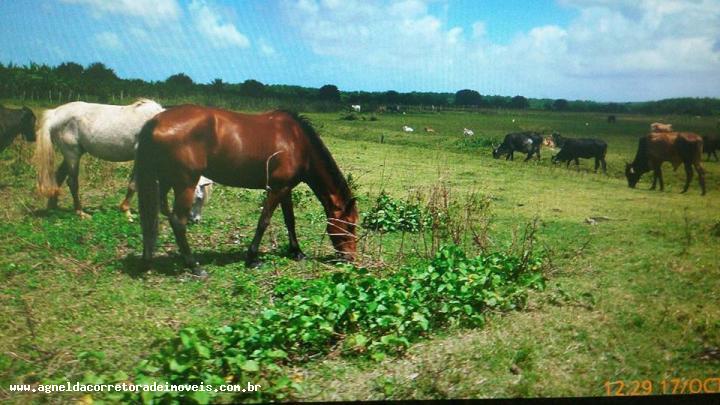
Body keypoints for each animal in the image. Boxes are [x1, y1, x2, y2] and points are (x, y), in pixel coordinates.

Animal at [35, 99, 165, 216]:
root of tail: (54, 114)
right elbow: (134, 184)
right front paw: (126, 211)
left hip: (71, 155)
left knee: (59, 176)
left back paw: (53, 207)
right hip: (72, 154)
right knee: (72, 182)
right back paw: (80, 213)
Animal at [135, 104, 358, 276]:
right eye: (349, 226)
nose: (351, 258)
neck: (297, 141)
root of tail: (156, 120)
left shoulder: (285, 189)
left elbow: (290, 221)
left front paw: (297, 252)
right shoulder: (276, 189)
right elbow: (264, 221)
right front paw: (252, 258)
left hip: (166, 181)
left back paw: (149, 258)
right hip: (185, 184)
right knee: (178, 221)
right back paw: (194, 266)